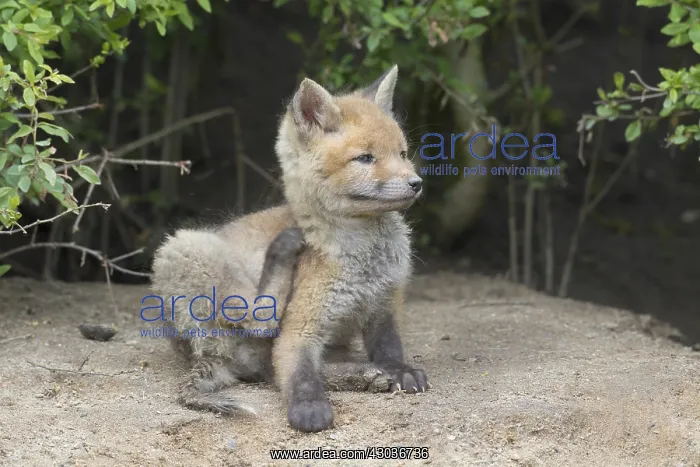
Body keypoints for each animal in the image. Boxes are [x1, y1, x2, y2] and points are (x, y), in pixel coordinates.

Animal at [151, 64, 429, 432]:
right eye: (365, 158)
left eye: (402, 153)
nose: (416, 184)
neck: (365, 262)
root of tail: (202, 355)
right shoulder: (301, 323)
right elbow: (299, 370)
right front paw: (309, 407)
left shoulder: (385, 302)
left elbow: (390, 347)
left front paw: (398, 371)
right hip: (186, 247)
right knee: (263, 324)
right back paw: (283, 249)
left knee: (271, 368)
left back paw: (363, 375)